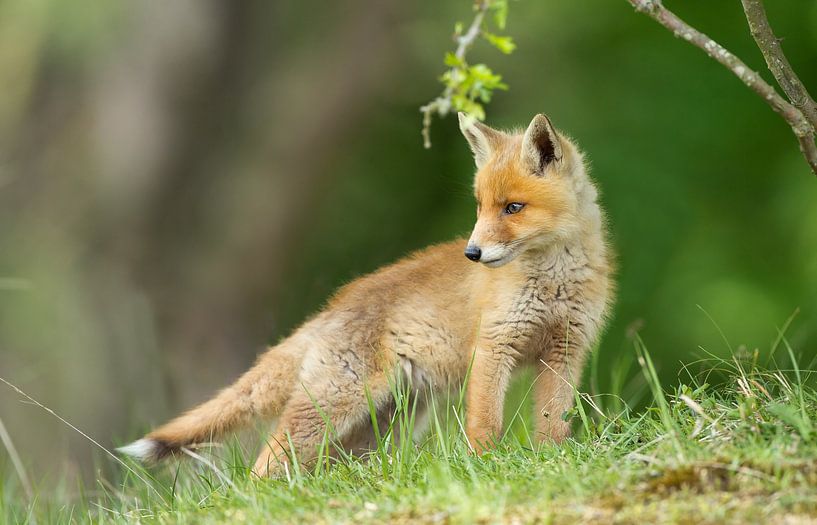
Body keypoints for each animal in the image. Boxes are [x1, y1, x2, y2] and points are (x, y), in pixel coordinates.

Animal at [119, 113, 612, 474]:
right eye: (480, 207)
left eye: (513, 208)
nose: (472, 252)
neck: (552, 281)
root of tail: (332, 307)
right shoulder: (495, 348)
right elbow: (485, 423)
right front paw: (484, 467)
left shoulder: (565, 350)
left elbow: (552, 421)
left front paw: (552, 460)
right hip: (337, 404)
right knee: (265, 463)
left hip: (383, 422)